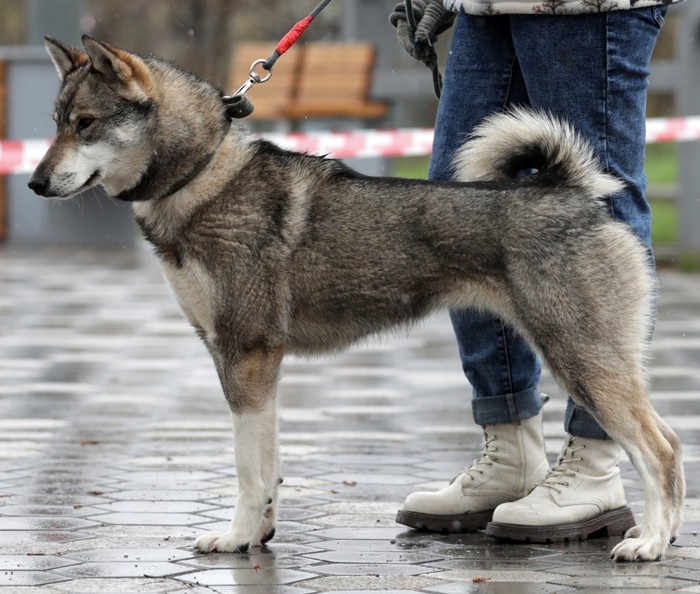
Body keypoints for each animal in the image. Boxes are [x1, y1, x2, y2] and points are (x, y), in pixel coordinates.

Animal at [28, 35, 684, 562]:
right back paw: (663, 533)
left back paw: (649, 543)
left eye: (85, 124)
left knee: (658, 451)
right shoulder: (252, 364)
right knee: (672, 442)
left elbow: (247, 469)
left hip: (582, 361)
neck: (203, 177)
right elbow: (268, 466)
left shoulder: (246, 356)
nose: (34, 182)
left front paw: (234, 536)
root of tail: (572, 193)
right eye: (56, 121)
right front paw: (258, 534)